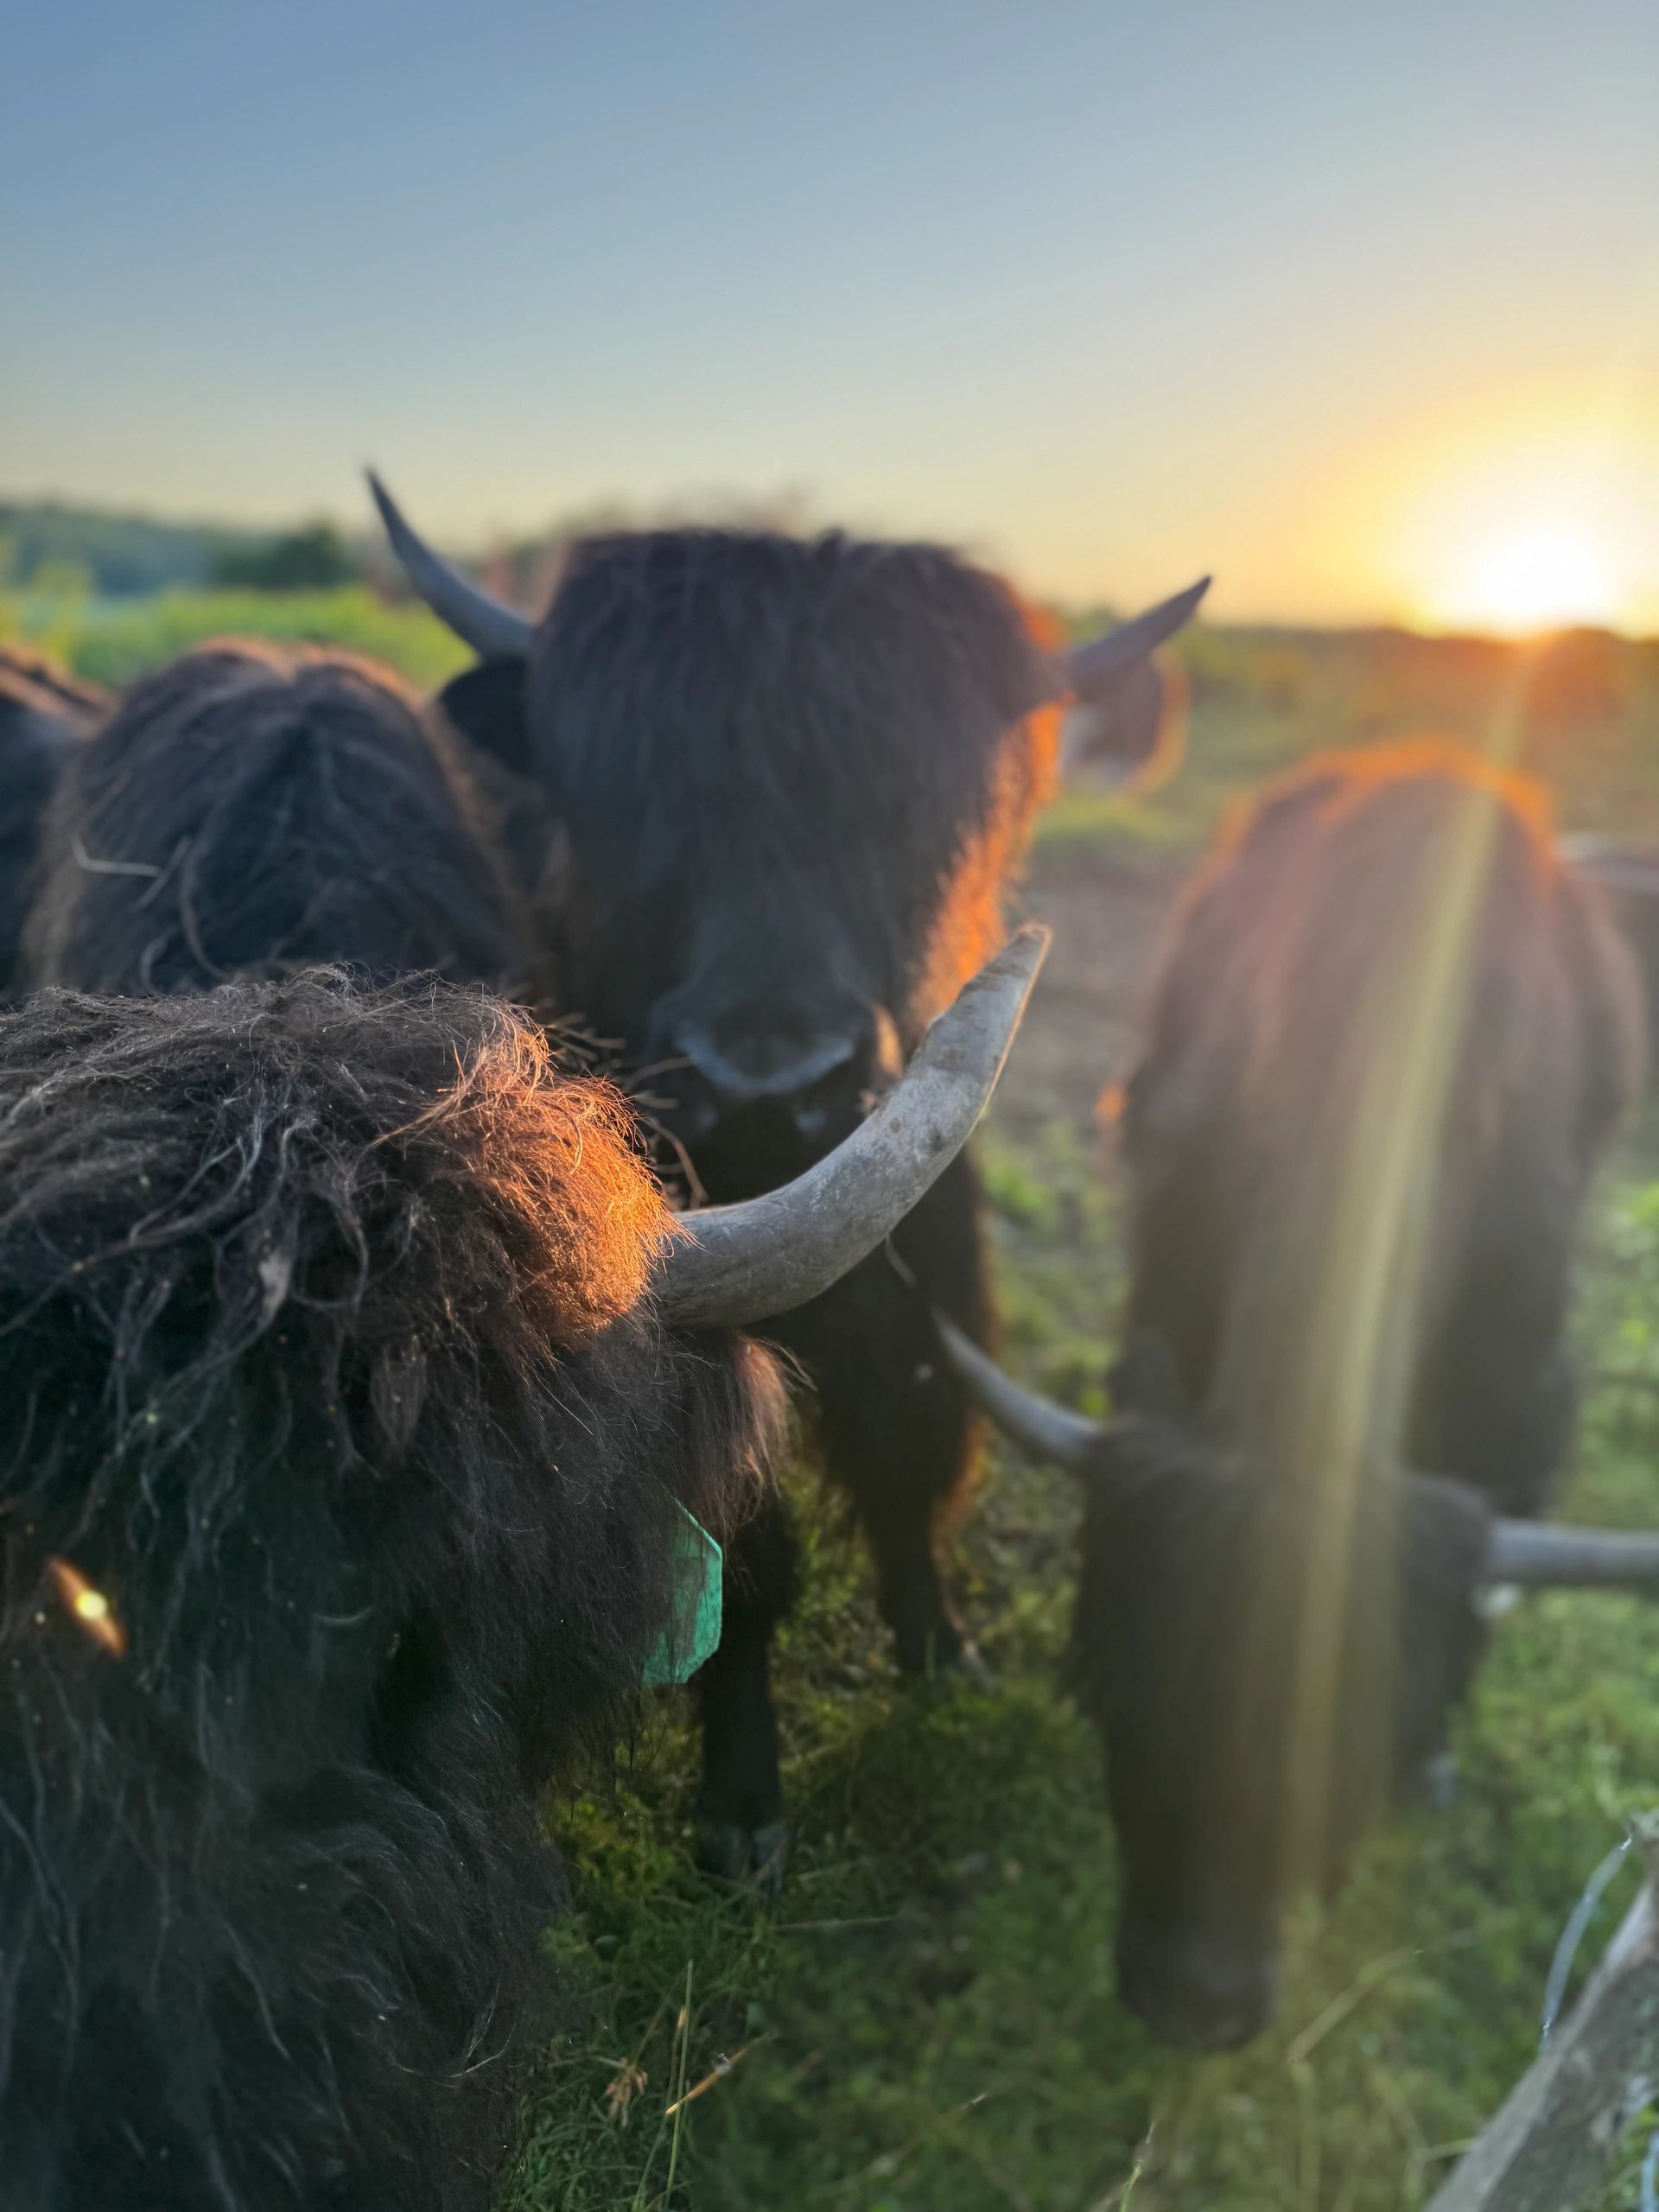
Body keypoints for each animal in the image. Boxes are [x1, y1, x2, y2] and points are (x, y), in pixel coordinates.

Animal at [369, 471, 1206, 1880]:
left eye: (914, 806)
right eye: (632, 800)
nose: (769, 1080)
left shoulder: (920, 1275)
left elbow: (914, 1444)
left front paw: (943, 1651)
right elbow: (747, 1557)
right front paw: (744, 1808)